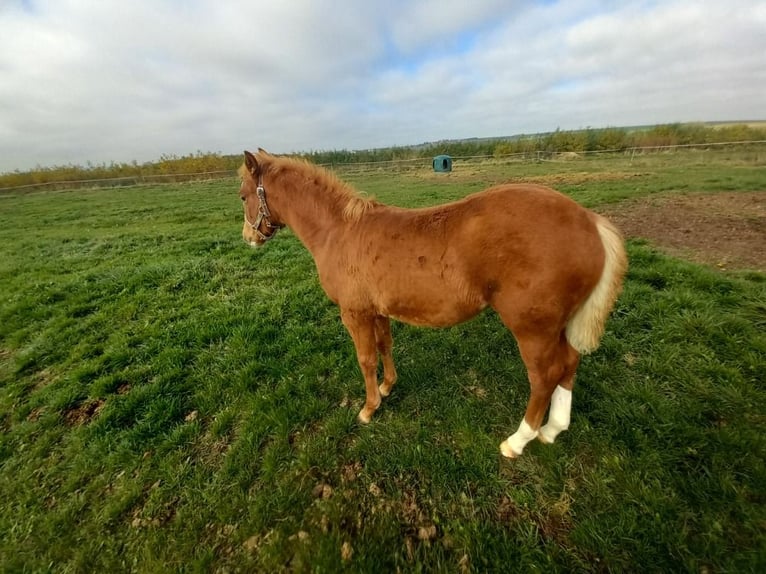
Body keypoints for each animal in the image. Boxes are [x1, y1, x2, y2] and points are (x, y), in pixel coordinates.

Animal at [240, 148, 632, 460]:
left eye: (243, 196)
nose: (249, 239)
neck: (339, 231)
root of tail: (588, 221)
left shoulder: (354, 313)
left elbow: (366, 359)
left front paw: (369, 408)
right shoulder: (377, 311)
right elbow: (385, 345)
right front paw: (388, 387)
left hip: (532, 328)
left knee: (545, 375)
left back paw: (518, 440)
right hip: (558, 325)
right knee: (569, 363)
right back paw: (552, 429)